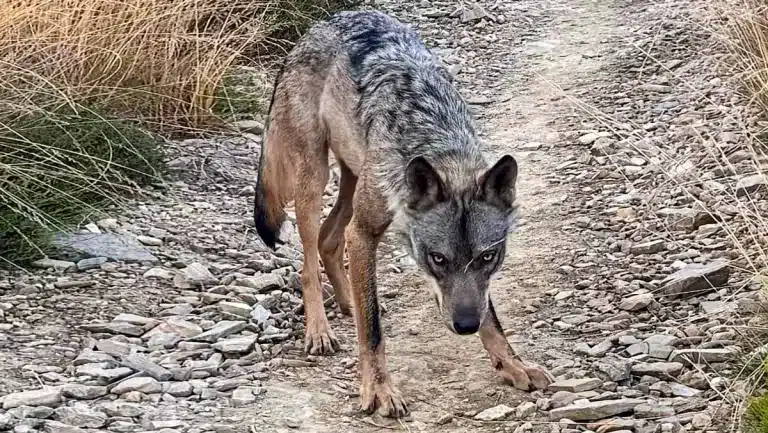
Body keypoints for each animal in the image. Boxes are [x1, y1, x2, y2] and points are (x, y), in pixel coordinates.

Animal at [255, 9, 556, 416]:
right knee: (309, 261)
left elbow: (492, 317)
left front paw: (512, 363)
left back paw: (348, 302)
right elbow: (373, 331)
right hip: (314, 178)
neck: (435, 139)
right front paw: (379, 390)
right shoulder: (364, 233)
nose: (465, 326)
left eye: (488, 257)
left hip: (352, 181)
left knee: (329, 240)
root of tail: (323, 22)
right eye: (437, 258)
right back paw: (319, 331)